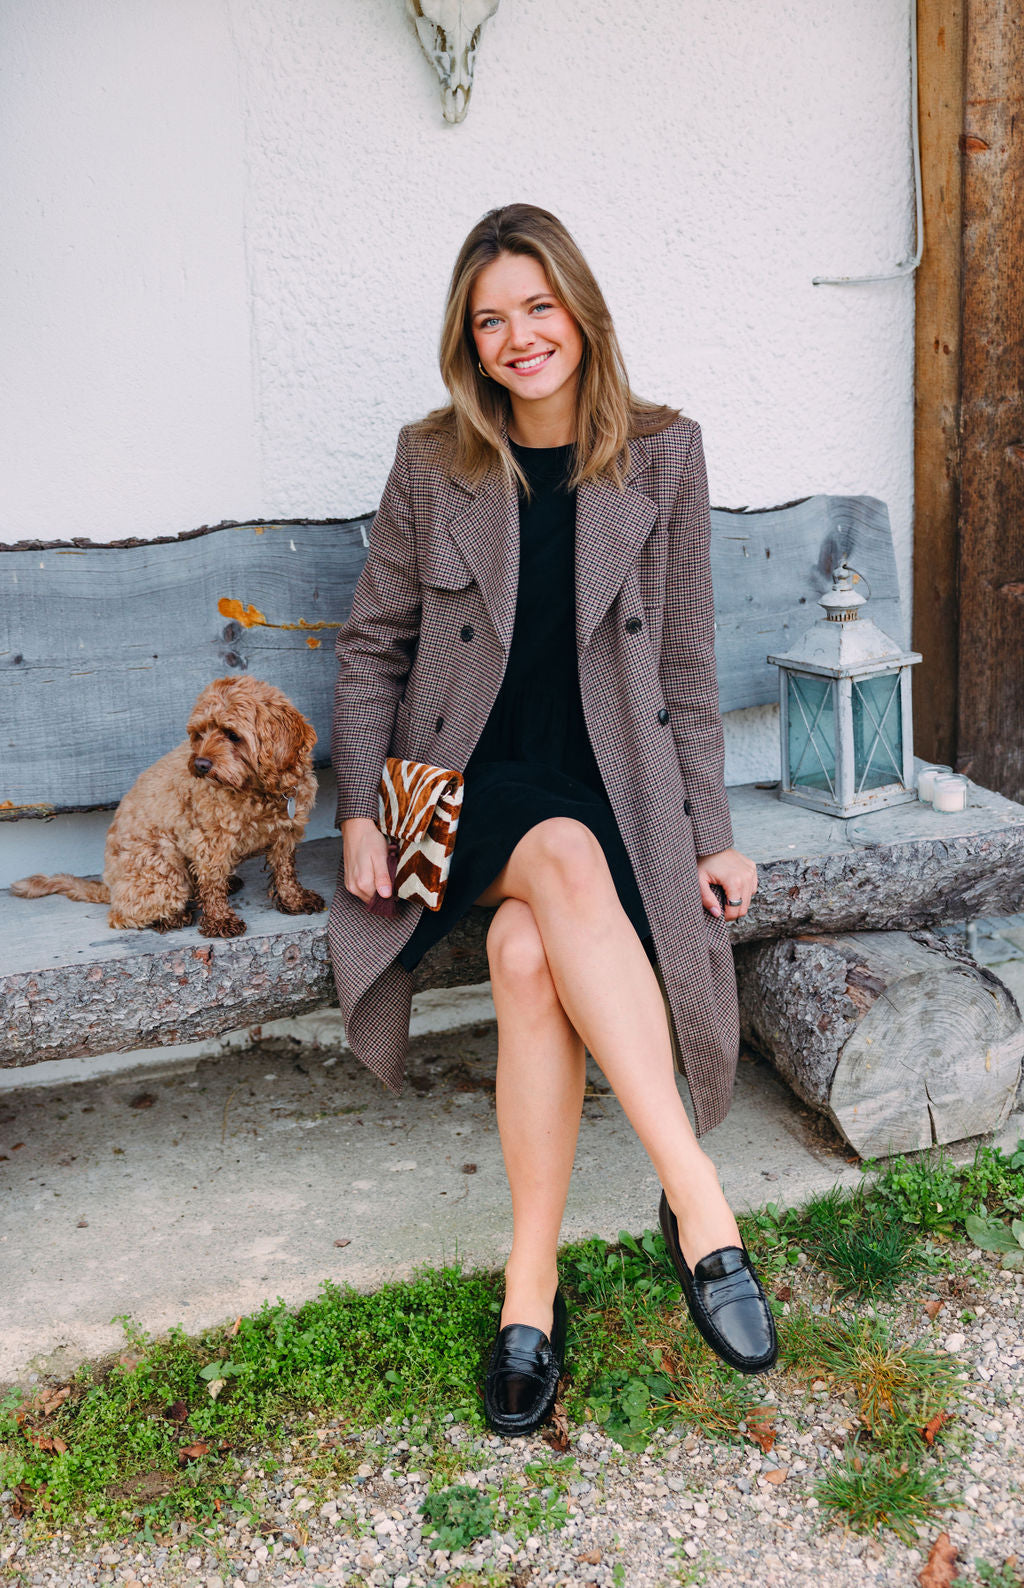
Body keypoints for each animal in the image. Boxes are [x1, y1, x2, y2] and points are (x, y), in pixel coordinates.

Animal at [11, 676, 325, 937]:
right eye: (199, 733)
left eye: (232, 734)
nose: (200, 764)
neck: (258, 790)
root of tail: (111, 888)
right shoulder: (209, 842)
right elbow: (212, 884)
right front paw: (220, 920)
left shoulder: (286, 834)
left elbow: (285, 870)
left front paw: (294, 899)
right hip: (162, 870)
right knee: (122, 915)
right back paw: (171, 917)